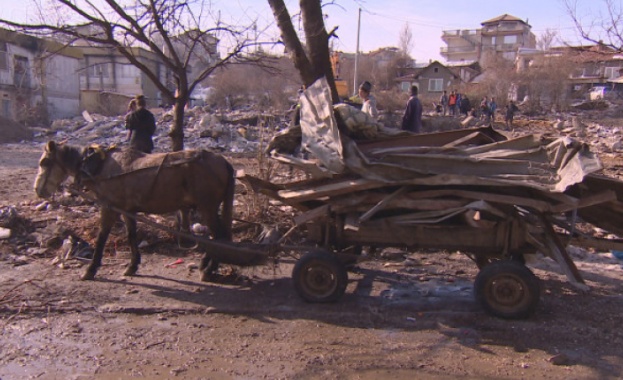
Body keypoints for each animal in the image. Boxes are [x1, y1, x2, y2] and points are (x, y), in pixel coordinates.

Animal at [34, 141, 235, 280]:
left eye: (45, 162)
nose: (38, 190)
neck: (101, 167)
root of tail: (222, 161)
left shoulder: (108, 208)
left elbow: (101, 237)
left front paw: (91, 269)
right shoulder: (126, 210)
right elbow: (131, 236)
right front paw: (132, 265)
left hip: (207, 207)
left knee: (220, 237)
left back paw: (208, 270)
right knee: (218, 237)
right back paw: (206, 266)